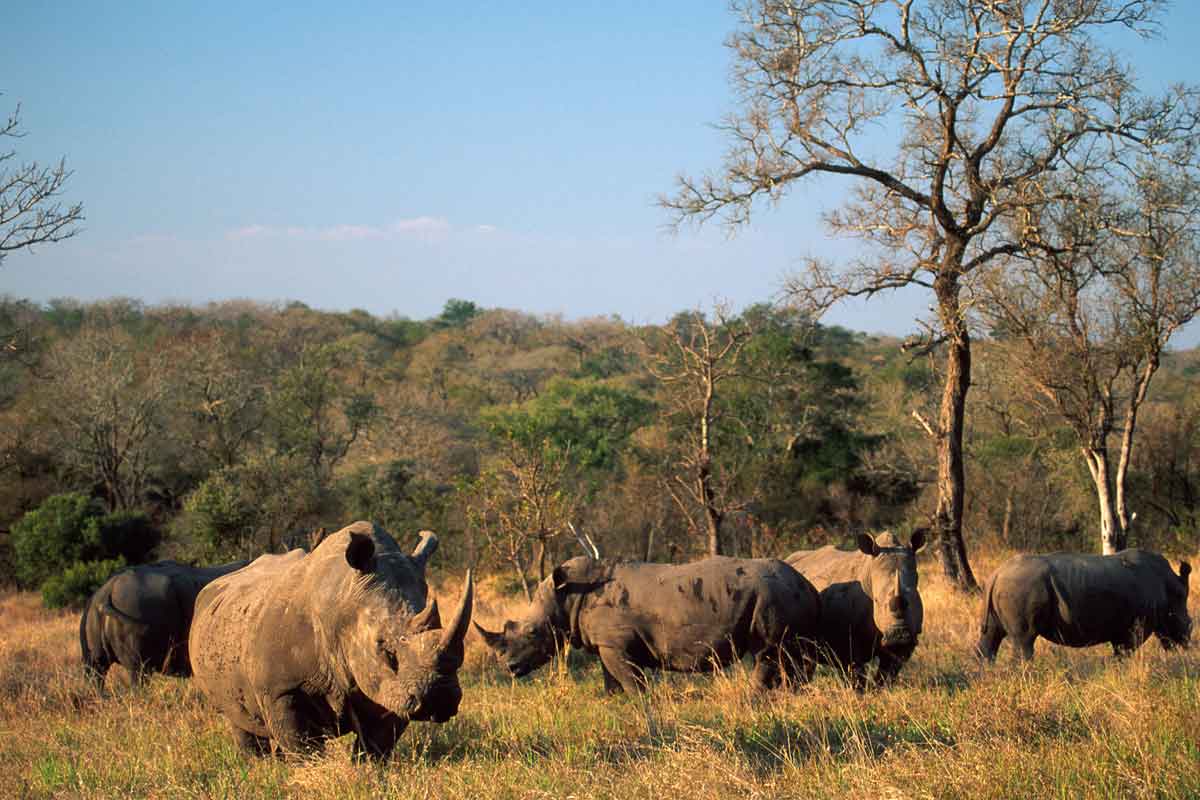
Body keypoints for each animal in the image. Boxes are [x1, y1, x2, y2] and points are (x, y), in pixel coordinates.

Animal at [187, 522, 468, 762]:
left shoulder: (388, 689)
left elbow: (376, 746)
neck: (343, 604)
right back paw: (258, 764)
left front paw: (367, 772)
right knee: (237, 720)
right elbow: (303, 749)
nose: (440, 698)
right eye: (386, 650)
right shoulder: (281, 689)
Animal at [472, 556, 820, 695]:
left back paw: (754, 698)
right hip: (783, 595)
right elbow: (610, 680)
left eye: (533, 633)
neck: (568, 596)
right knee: (791, 654)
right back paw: (791, 695)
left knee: (767, 651)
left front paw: (641, 703)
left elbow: (631, 680)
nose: (510, 668)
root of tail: (807, 583)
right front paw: (613, 704)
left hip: (771, 596)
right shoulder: (607, 644)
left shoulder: (616, 643)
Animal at [787, 527, 926, 690]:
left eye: (914, 599)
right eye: (876, 601)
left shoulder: (906, 642)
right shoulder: (846, 641)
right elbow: (856, 676)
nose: (900, 636)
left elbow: (887, 674)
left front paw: (879, 691)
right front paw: (862, 693)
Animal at [974, 546, 1190, 662]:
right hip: (1020, 587)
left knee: (991, 637)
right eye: (1186, 622)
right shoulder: (1135, 627)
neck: (1169, 585)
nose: (1187, 641)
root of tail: (997, 574)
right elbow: (1126, 651)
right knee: (1024, 640)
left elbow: (1119, 653)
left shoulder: (1121, 628)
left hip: (1006, 588)